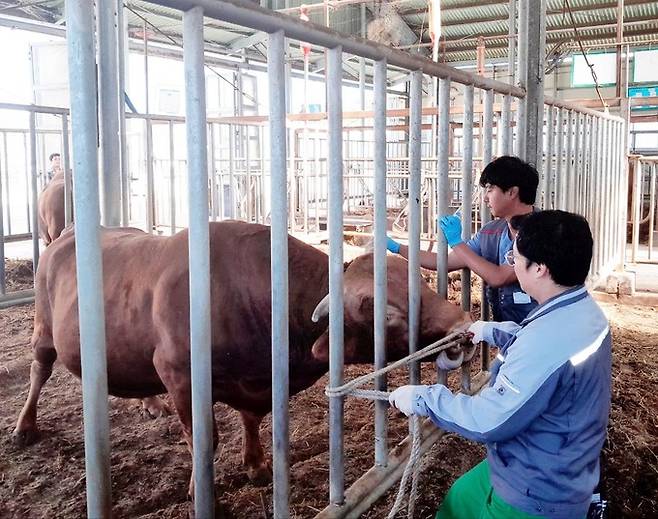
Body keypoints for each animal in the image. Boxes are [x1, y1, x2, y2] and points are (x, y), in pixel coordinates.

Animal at [12, 219, 468, 500]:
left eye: (416, 280)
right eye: (385, 312)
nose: (463, 324)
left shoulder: (257, 382)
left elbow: (252, 419)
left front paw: (257, 465)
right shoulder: (179, 374)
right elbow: (204, 439)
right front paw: (202, 492)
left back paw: (151, 404)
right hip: (44, 331)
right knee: (39, 369)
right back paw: (24, 427)